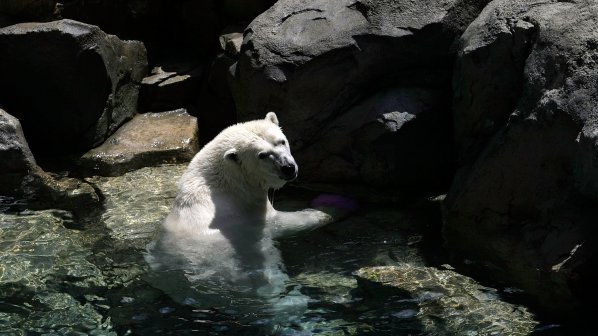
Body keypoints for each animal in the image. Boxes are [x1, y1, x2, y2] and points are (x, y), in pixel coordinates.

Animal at [146, 111, 356, 314]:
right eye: (262, 155)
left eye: (281, 141)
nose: (288, 168)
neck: (222, 182)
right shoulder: (248, 213)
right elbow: (284, 222)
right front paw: (337, 205)